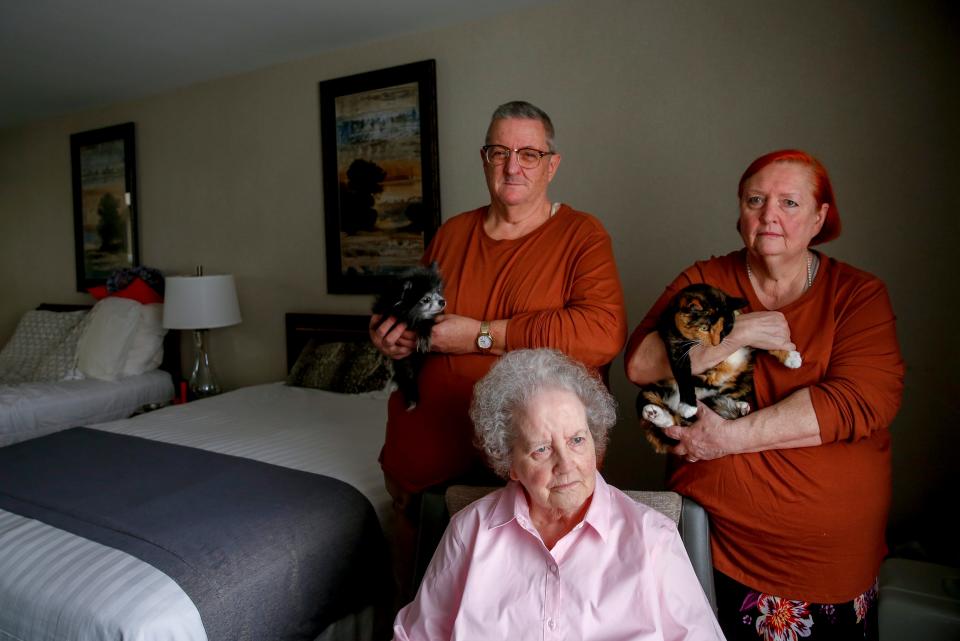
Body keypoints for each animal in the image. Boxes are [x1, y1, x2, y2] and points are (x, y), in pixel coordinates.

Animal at [636, 282, 804, 452]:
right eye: (704, 327)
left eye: (727, 326)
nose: (717, 343)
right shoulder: (673, 341)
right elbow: (683, 374)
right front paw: (688, 405)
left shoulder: (748, 339)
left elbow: (764, 343)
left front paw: (791, 357)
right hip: (658, 387)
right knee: (672, 426)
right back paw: (655, 413)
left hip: (740, 385)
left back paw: (741, 406)